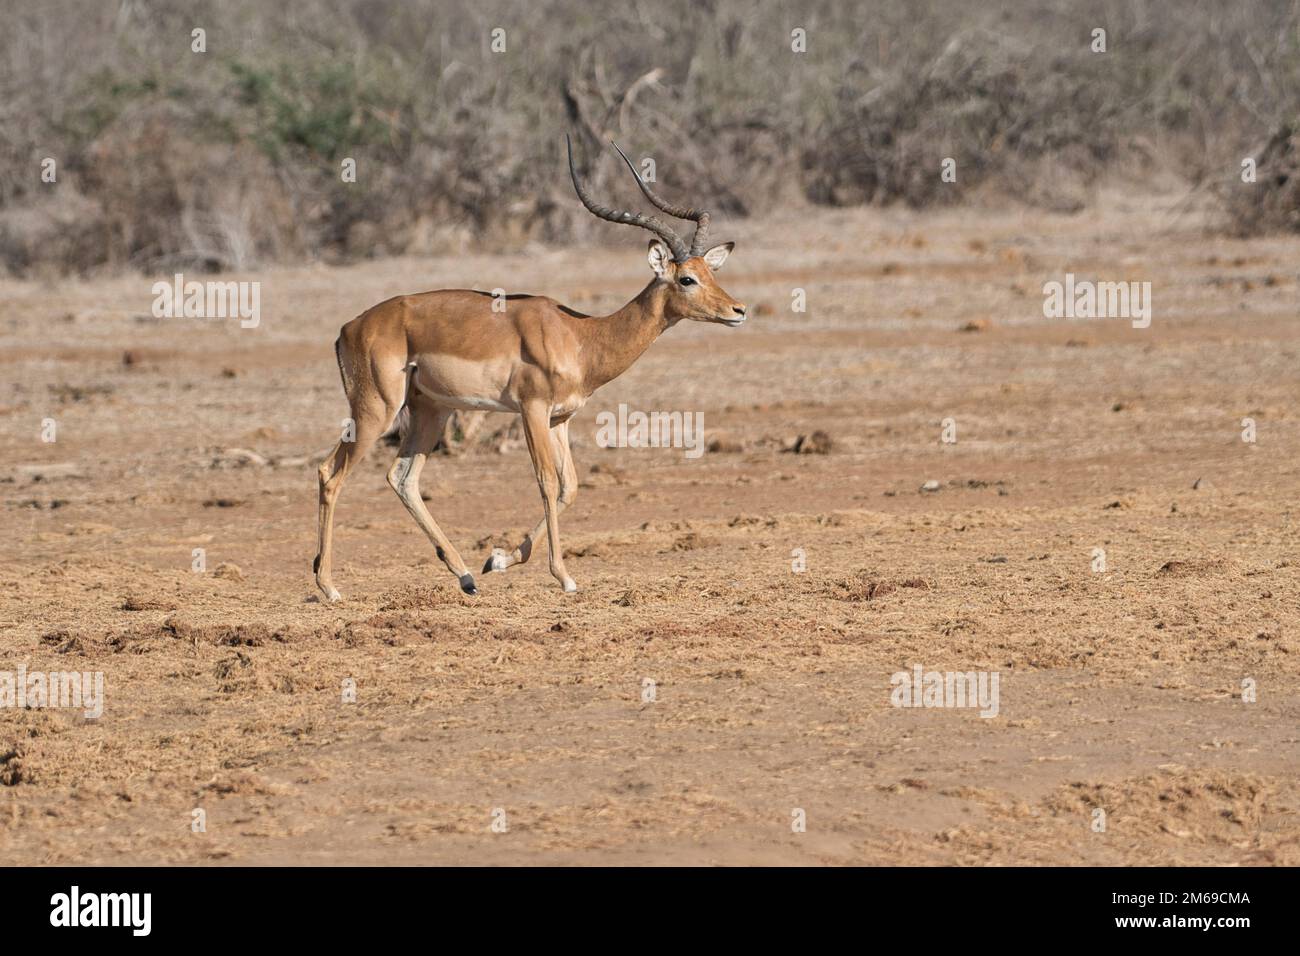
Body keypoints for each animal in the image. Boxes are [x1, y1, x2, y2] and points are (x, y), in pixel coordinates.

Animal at [313, 137, 747, 601]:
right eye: (686, 279)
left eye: (709, 272)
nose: (738, 311)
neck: (580, 335)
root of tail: (348, 328)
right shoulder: (533, 410)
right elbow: (547, 482)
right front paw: (564, 576)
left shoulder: (560, 419)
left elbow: (570, 486)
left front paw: (498, 559)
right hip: (376, 410)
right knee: (331, 474)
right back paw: (330, 587)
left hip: (432, 410)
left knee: (402, 478)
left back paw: (466, 576)